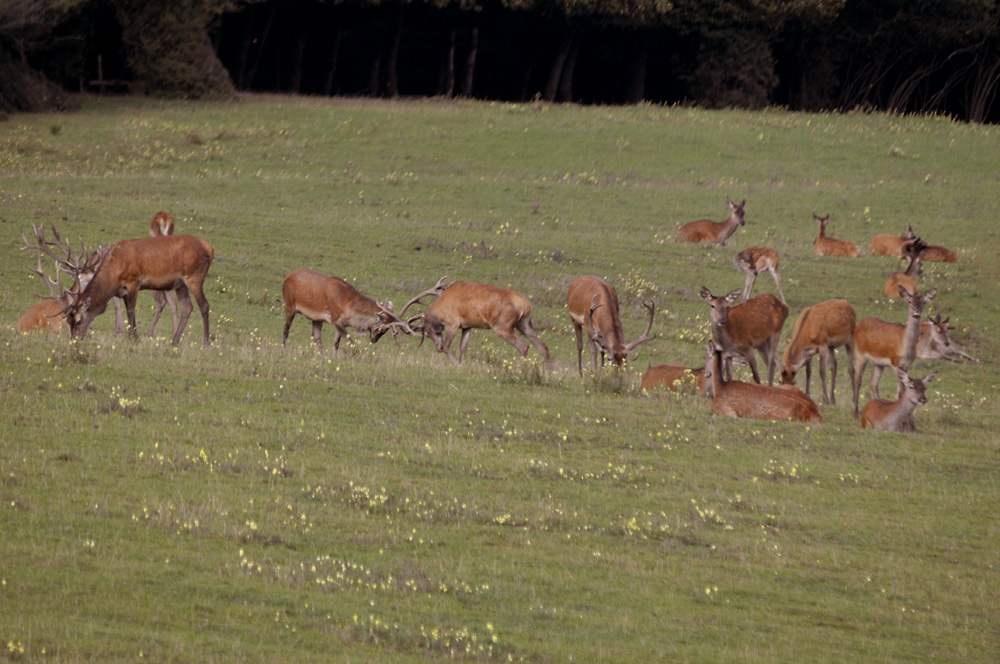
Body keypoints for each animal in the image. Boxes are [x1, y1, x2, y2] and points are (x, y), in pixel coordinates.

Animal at [62, 235, 215, 348]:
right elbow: (130, 311)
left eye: (78, 320)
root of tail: (211, 248)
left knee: (204, 305)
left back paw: (206, 343)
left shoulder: (133, 281)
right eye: (69, 321)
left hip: (194, 277)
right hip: (180, 284)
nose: (74, 339)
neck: (114, 271)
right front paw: (135, 336)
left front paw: (131, 337)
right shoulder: (123, 289)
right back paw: (174, 341)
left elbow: (131, 310)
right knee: (187, 307)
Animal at [280, 268, 412, 356]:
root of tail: (287, 277)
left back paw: (324, 356)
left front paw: (334, 357)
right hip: (289, 305)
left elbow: (336, 343)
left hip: (316, 318)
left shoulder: (342, 323)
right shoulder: (334, 318)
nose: (373, 340)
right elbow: (350, 341)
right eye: (383, 329)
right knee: (286, 329)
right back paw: (284, 349)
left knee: (316, 336)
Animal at [402, 278, 552, 366]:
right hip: (524, 323)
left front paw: (456, 365)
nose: (437, 347)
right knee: (543, 346)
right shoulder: (467, 326)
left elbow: (447, 346)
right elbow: (463, 348)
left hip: (503, 326)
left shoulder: (453, 323)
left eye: (428, 332)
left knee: (523, 346)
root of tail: (525, 305)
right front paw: (462, 365)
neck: (439, 308)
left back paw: (519, 370)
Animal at [852, 286, 936, 416]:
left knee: (873, 382)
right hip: (860, 354)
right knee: (858, 380)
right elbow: (901, 391)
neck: (905, 349)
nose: (917, 311)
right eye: (909, 301)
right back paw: (855, 412)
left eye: (923, 302)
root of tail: (858, 326)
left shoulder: (906, 366)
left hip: (878, 363)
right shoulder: (896, 363)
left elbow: (902, 389)